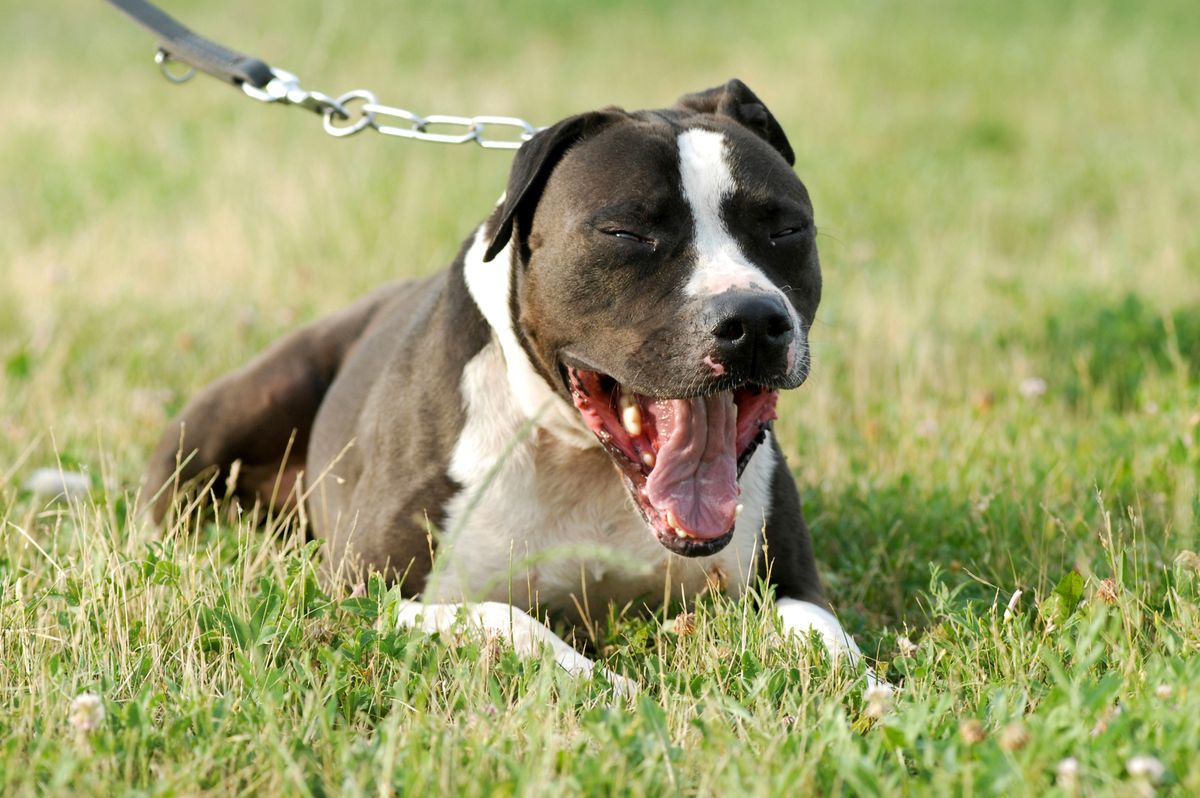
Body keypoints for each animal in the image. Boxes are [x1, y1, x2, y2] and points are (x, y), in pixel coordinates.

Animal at [145, 81, 883, 691]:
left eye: (786, 228)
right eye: (626, 233)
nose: (753, 320)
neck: (578, 458)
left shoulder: (785, 582)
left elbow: (826, 637)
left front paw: (870, 689)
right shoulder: (369, 594)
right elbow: (509, 622)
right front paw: (608, 687)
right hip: (233, 410)